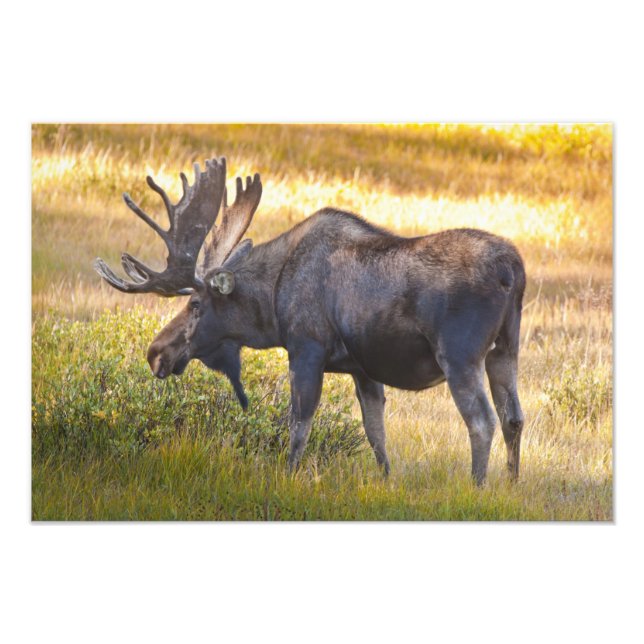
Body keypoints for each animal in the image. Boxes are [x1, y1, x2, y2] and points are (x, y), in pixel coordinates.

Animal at [94, 157, 526, 485]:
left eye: (197, 303)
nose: (156, 352)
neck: (272, 303)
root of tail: (513, 269)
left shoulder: (306, 349)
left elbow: (298, 425)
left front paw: (287, 476)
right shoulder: (363, 369)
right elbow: (376, 433)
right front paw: (386, 479)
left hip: (459, 355)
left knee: (482, 420)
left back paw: (477, 485)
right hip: (505, 349)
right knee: (513, 418)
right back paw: (511, 483)